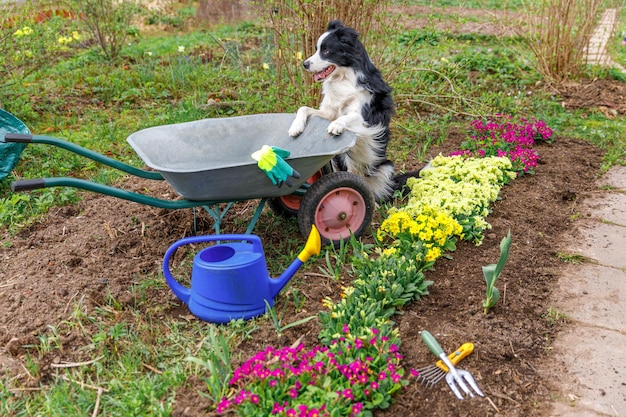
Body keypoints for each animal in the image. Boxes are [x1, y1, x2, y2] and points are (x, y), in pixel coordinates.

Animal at [286, 19, 392, 202]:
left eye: (326, 50)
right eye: (317, 48)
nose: (305, 64)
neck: (343, 77)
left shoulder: (366, 119)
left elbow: (347, 117)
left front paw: (336, 126)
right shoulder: (328, 112)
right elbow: (303, 108)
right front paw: (296, 127)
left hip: (385, 167)